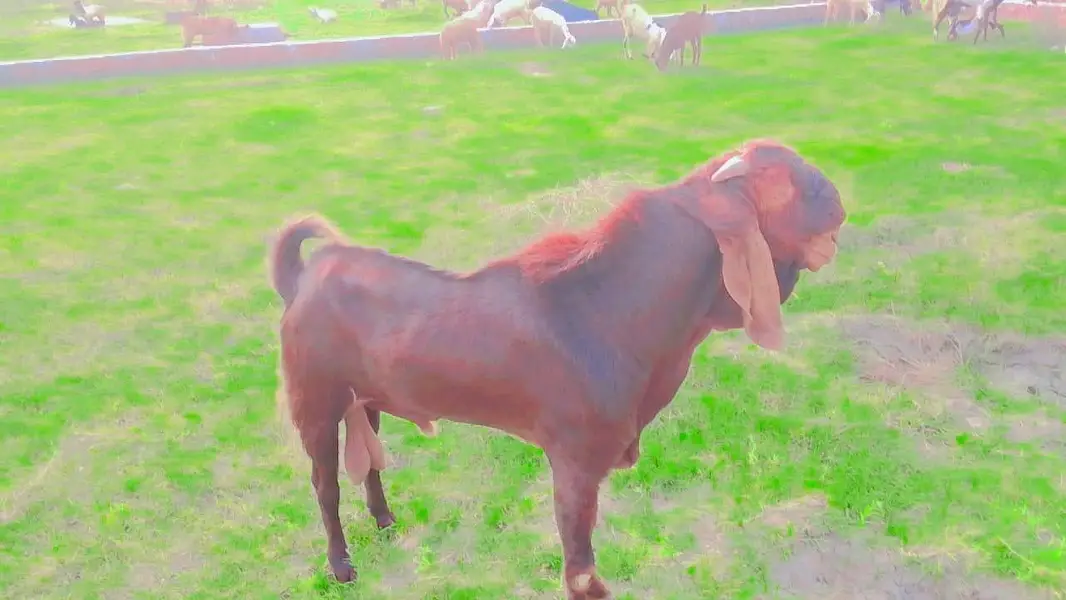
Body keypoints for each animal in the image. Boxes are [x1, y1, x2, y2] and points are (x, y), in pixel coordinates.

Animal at [268, 139, 847, 597]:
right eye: (786, 180)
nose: (841, 206)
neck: (608, 307)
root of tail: (304, 276)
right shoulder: (574, 458)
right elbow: (580, 567)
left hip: (364, 396)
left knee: (367, 460)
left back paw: (386, 520)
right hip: (313, 398)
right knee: (325, 484)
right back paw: (341, 566)